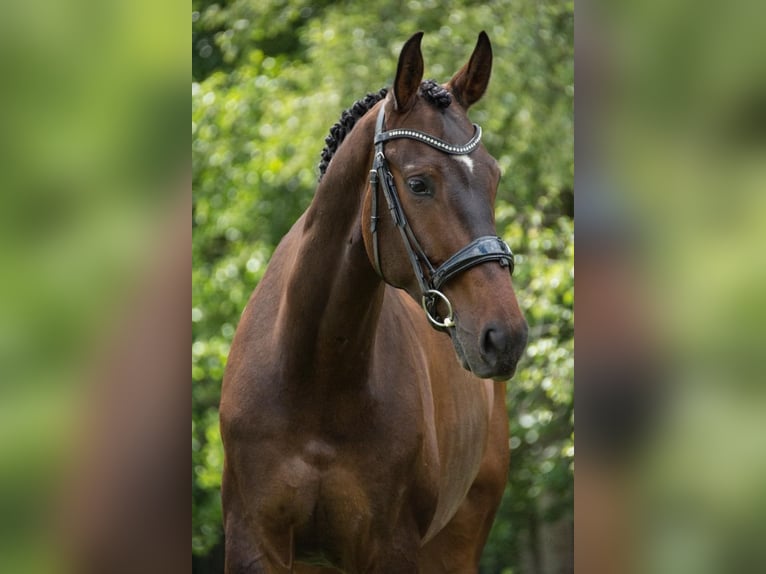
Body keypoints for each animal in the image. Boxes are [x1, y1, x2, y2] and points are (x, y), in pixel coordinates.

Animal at [220, 32, 528, 574]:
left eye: (494, 178)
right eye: (420, 183)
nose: (504, 337)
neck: (316, 374)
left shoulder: (390, 548)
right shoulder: (254, 545)